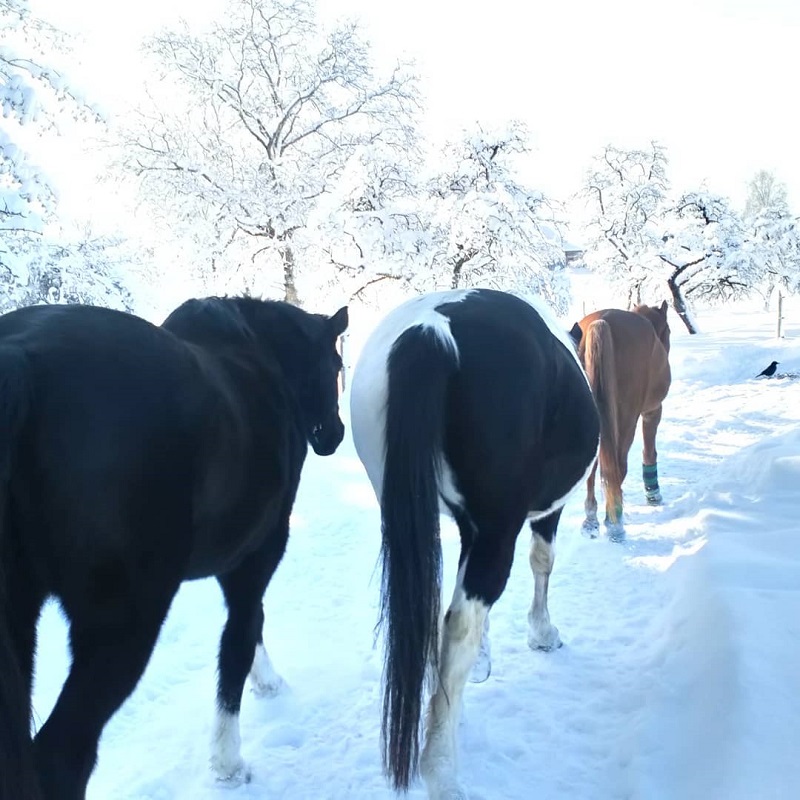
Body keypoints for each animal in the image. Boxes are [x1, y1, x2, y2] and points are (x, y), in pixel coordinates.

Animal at [0, 296, 350, 800]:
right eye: (336, 364)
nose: (333, 434)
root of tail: (20, 359)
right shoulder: (257, 554)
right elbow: (241, 635)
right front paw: (229, 760)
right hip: (123, 627)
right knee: (61, 756)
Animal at [350, 290, 600, 800]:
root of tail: (430, 332)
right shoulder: (539, 516)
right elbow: (542, 562)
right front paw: (542, 633)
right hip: (497, 528)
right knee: (460, 623)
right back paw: (441, 769)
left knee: (430, 613)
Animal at [572, 300, 672, 536]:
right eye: (669, 331)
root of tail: (600, 322)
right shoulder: (652, 411)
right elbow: (649, 451)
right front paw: (653, 494)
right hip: (626, 420)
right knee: (618, 466)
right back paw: (614, 522)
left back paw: (591, 519)